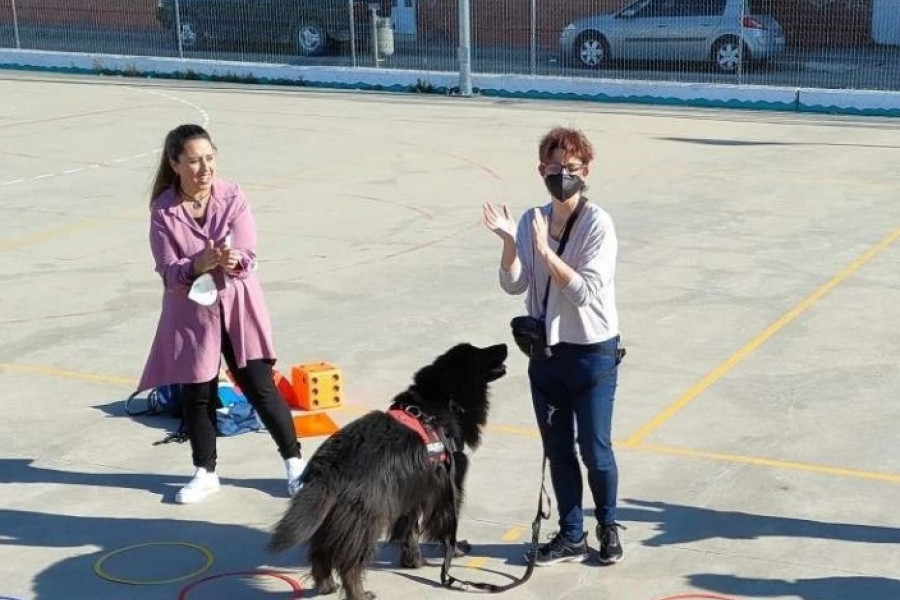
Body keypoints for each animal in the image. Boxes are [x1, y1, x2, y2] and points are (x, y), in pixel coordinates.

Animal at [268, 342, 506, 600]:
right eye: (478, 352)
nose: (504, 345)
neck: (442, 401)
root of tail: (329, 467)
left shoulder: (413, 491)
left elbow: (410, 530)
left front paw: (412, 561)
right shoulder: (446, 486)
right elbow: (446, 526)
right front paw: (456, 550)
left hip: (333, 518)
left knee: (320, 553)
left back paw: (326, 586)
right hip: (366, 518)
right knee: (349, 564)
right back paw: (359, 594)